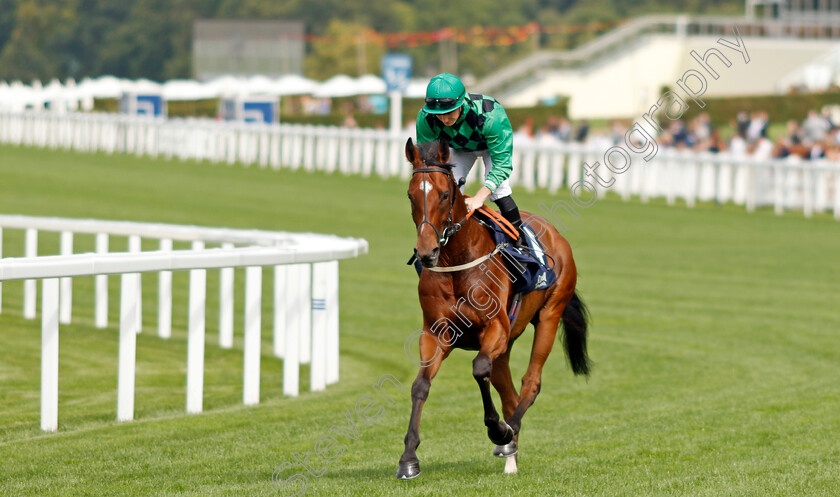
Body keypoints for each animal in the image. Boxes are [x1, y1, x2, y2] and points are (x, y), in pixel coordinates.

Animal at [398, 138, 592, 478]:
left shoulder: (495, 328)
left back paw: (507, 435)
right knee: (510, 394)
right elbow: (420, 385)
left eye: (445, 194)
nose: (427, 251)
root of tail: (556, 235)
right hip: (507, 345)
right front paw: (409, 457)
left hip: (549, 315)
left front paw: (498, 430)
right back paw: (511, 453)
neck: (458, 262)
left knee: (530, 384)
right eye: (410, 194)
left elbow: (478, 369)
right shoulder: (435, 333)